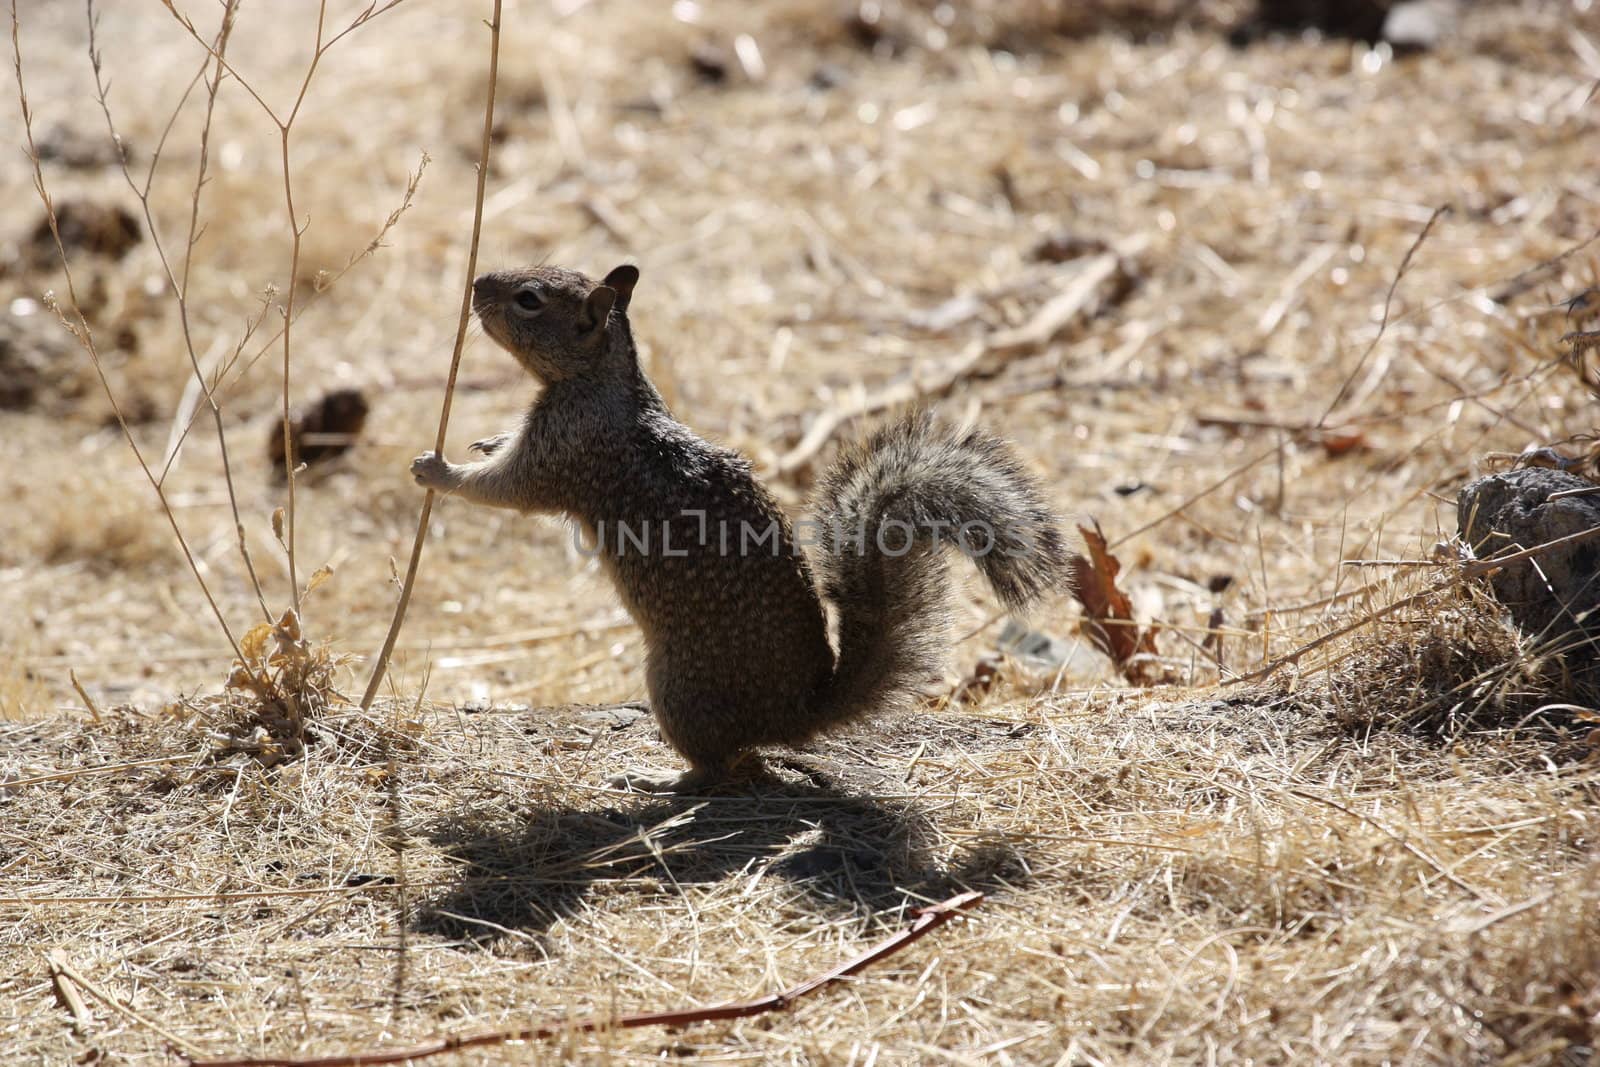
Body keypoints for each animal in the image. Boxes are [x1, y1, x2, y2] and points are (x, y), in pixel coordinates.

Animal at [412, 260, 1068, 793]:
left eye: (529, 299)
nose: (476, 284)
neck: (602, 379)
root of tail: (795, 713)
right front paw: (488, 439)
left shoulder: (570, 449)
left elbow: (507, 489)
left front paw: (439, 470)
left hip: (679, 689)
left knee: (717, 768)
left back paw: (655, 778)